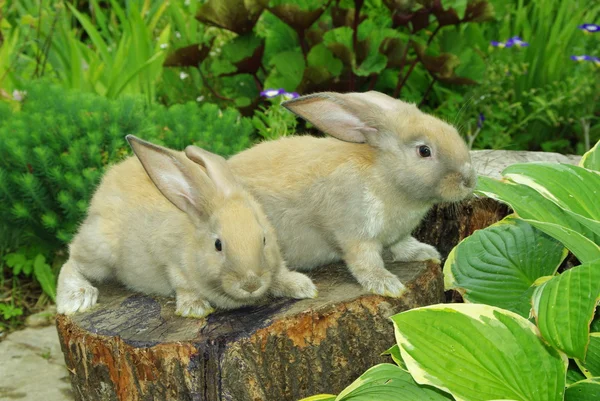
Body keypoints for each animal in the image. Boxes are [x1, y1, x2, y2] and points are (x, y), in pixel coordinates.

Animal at [56, 136, 318, 318]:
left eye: (263, 239)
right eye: (218, 245)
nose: (251, 285)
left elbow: (280, 273)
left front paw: (303, 287)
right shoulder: (170, 261)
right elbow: (183, 284)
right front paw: (195, 308)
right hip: (101, 249)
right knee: (71, 262)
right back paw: (77, 298)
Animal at [227, 90, 476, 296]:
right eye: (424, 151)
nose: (469, 180)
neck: (385, 175)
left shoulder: (397, 236)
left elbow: (402, 246)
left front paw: (425, 253)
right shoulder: (355, 234)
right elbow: (365, 262)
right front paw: (388, 285)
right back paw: (300, 288)